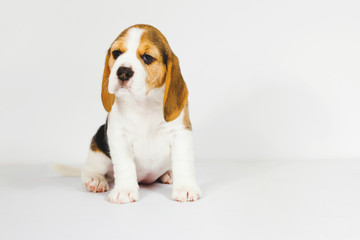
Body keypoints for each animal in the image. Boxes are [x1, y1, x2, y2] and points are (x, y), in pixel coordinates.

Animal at [80, 24, 201, 203]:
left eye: (147, 58)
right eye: (116, 53)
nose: (123, 72)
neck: (144, 102)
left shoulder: (180, 133)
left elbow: (183, 162)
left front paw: (185, 188)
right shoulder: (118, 136)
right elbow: (125, 165)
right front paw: (124, 190)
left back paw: (168, 174)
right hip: (99, 149)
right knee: (90, 169)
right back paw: (96, 179)